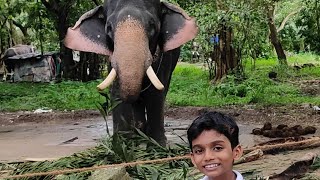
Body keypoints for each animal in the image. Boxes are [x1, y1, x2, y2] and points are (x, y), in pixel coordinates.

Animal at [64, 0, 198, 146]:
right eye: (109, 28)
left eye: (152, 26)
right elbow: (116, 93)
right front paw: (121, 145)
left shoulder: (164, 61)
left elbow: (155, 94)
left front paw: (157, 146)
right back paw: (139, 133)